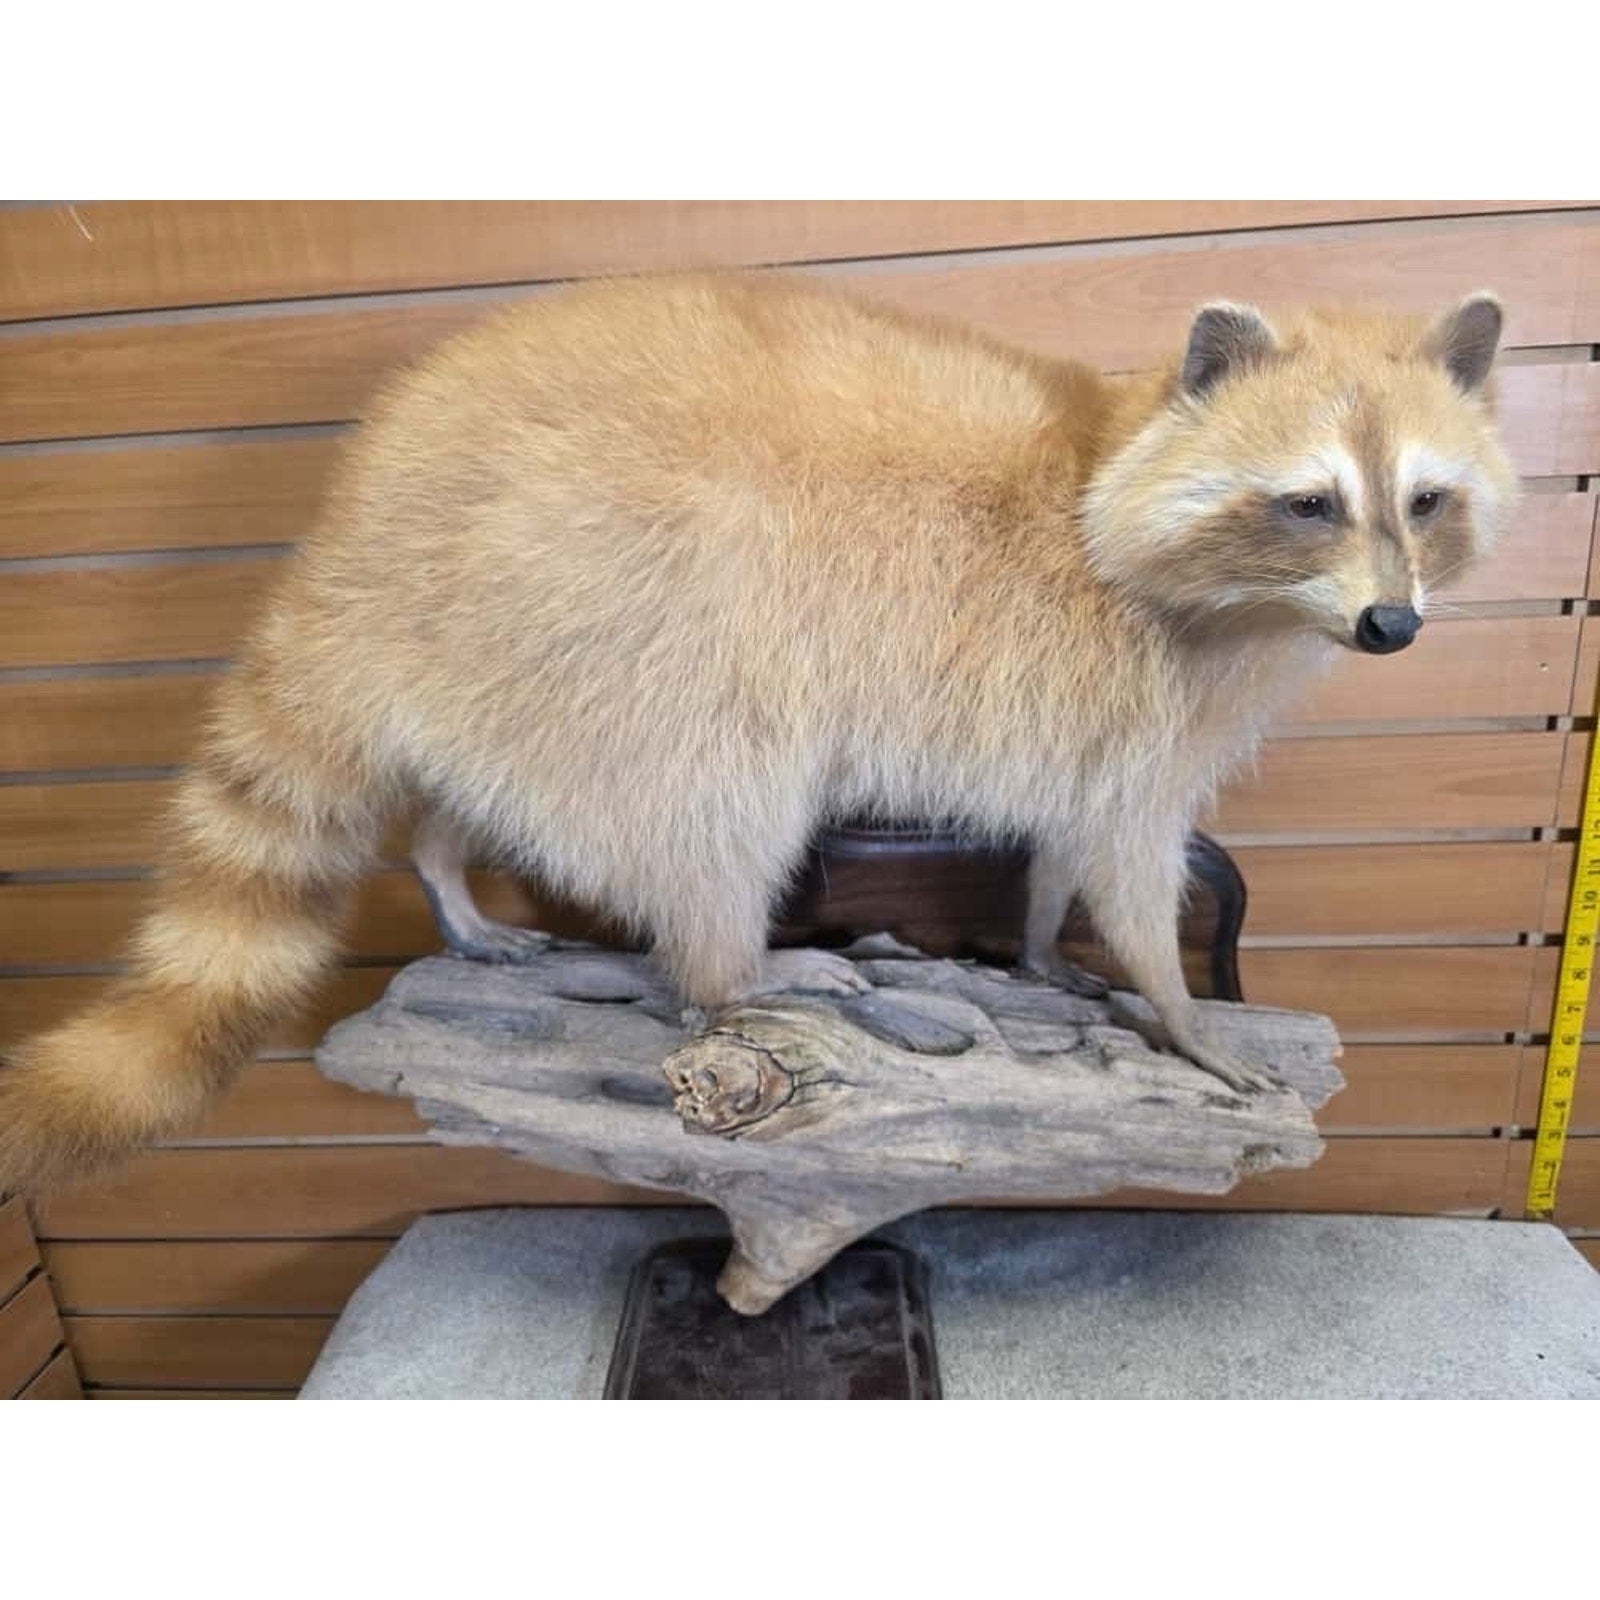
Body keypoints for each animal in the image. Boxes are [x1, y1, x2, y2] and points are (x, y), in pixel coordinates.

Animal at [0, 273, 1515, 1194]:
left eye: (1424, 500)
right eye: (1309, 503)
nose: (1393, 626)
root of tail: (365, 528)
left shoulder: (1091, 711)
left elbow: (1055, 839)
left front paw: (1038, 943)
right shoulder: (1131, 698)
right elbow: (1126, 856)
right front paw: (1181, 1007)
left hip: (505, 664)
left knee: (473, 788)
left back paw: (447, 872)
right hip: (628, 604)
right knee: (716, 799)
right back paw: (738, 962)